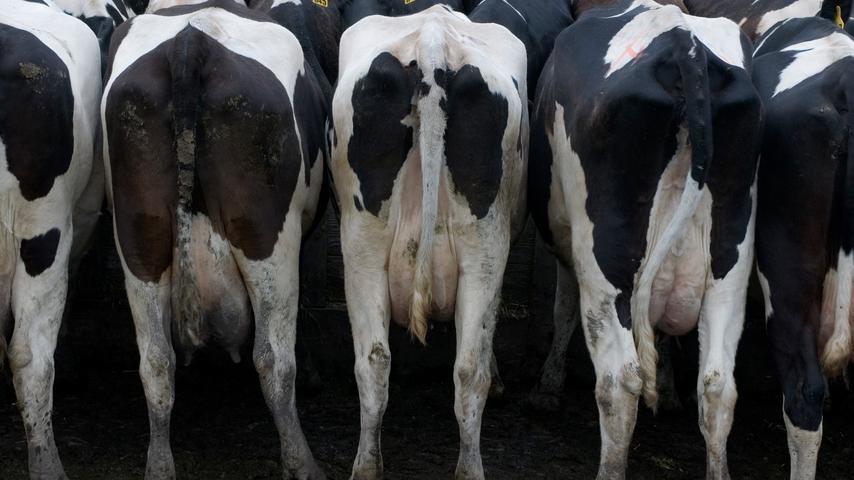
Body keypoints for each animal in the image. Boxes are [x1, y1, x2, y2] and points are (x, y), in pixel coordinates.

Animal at [101, 0, 328, 476]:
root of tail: (192, 42)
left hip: (140, 235)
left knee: (156, 360)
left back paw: (160, 465)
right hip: (266, 238)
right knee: (273, 359)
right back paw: (301, 462)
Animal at [332, 5, 524, 478]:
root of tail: (433, 39)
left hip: (362, 248)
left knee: (379, 361)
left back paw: (369, 466)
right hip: (483, 252)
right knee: (468, 368)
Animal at [532, 1, 764, 478]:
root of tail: (684, 48)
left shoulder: (568, 246)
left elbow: (563, 309)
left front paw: (548, 385)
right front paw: (671, 391)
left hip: (606, 263)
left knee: (620, 380)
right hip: (730, 262)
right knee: (717, 386)